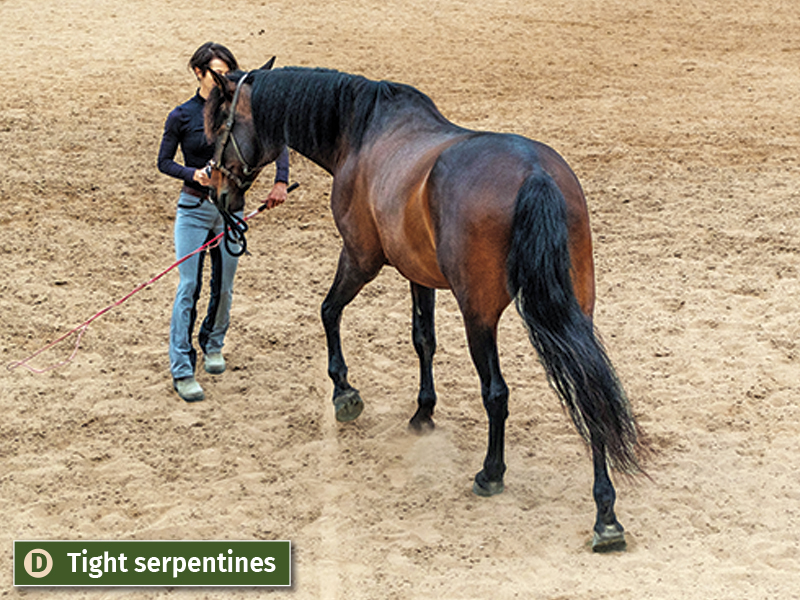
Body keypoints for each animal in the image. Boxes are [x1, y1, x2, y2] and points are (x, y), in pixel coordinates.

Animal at [204, 62, 645, 551]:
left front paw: (344, 393)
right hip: (577, 309)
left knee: (497, 393)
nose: (217, 194)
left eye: (217, 126)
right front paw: (423, 412)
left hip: (478, 315)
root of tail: (535, 173)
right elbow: (424, 340)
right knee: (591, 389)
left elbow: (329, 311)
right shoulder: (418, 273)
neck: (361, 132)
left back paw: (492, 474)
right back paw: (606, 514)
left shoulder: (360, 258)